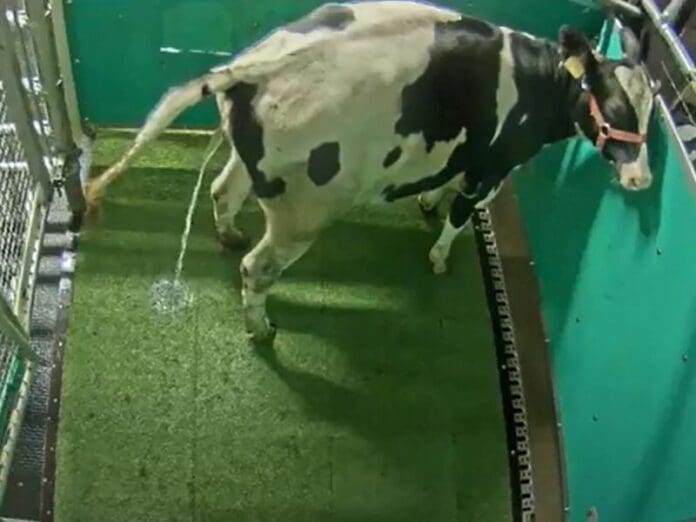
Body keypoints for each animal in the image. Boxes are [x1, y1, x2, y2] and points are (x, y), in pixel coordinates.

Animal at [86, 1, 657, 344]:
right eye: (613, 105)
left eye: (650, 111)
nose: (643, 180)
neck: (538, 82)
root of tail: (256, 65)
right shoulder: (496, 164)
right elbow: (461, 214)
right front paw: (439, 256)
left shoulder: (468, 154)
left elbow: (446, 188)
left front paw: (427, 202)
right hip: (303, 213)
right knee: (257, 267)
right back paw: (262, 329)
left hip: (252, 167)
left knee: (224, 193)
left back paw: (229, 236)